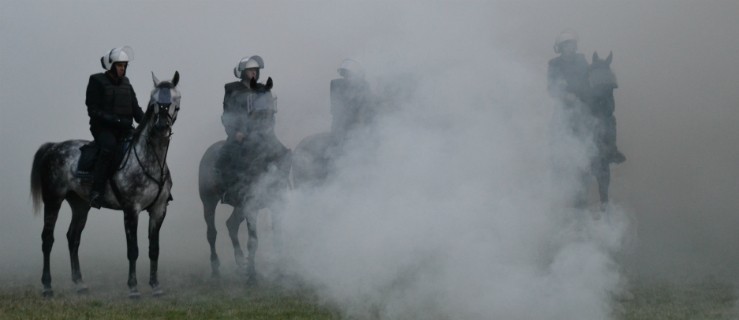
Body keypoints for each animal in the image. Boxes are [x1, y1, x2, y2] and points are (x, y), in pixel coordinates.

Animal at [31, 72, 182, 298]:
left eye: (175, 99)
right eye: (153, 101)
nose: (162, 127)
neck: (151, 159)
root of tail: (54, 147)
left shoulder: (158, 210)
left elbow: (154, 249)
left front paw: (155, 285)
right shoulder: (131, 210)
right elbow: (133, 250)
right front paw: (133, 288)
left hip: (80, 205)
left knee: (73, 238)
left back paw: (80, 283)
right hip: (53, 200)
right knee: (47, 239)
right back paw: (47, 286)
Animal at [199, 82, 292, 282]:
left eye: (272, 114)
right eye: (256, 116)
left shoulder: (274, 205)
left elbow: (277, 238)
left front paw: (280, 271)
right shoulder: (251, 207)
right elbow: (253, 240)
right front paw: (252, 276)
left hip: (239, 206)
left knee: (231, 225)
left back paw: (240, 261)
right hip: (209, 201)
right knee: (211, 233)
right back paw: (216, 268)